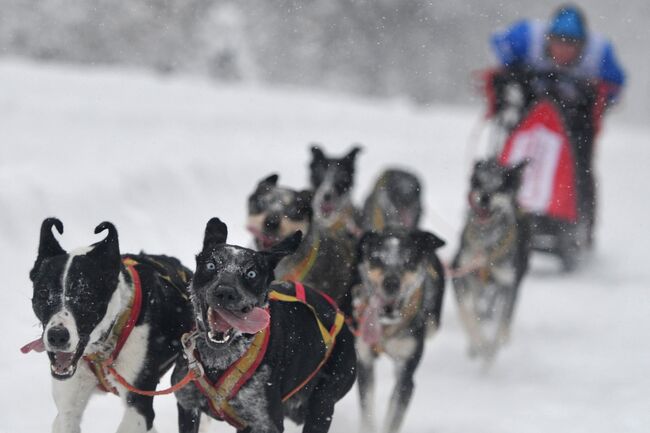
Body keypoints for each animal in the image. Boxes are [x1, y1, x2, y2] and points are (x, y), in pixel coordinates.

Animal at [172, 218, 354, 432]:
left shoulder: (266, 423)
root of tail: (341, 317)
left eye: (251, 273)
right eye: (211, 265)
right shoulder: (188, 406)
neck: (220, 360)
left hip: (322, 405)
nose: (225, 292)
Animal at [352, 230, 442, 432]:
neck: (386, 328)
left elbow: (394, 416)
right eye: (377, 259)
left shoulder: (406, 374)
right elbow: (367, 410)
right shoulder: (365, 362)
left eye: (409, 262)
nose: (391, 282)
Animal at [450, 159, 528, 362]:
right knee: (479, 308)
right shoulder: (460, 273)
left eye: (500, 185)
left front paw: (490, 353)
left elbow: (501, 323)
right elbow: (468, 314)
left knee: (505, 314)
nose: (485, 197)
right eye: (479, 182)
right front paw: (478, 343)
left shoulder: (508, 283)